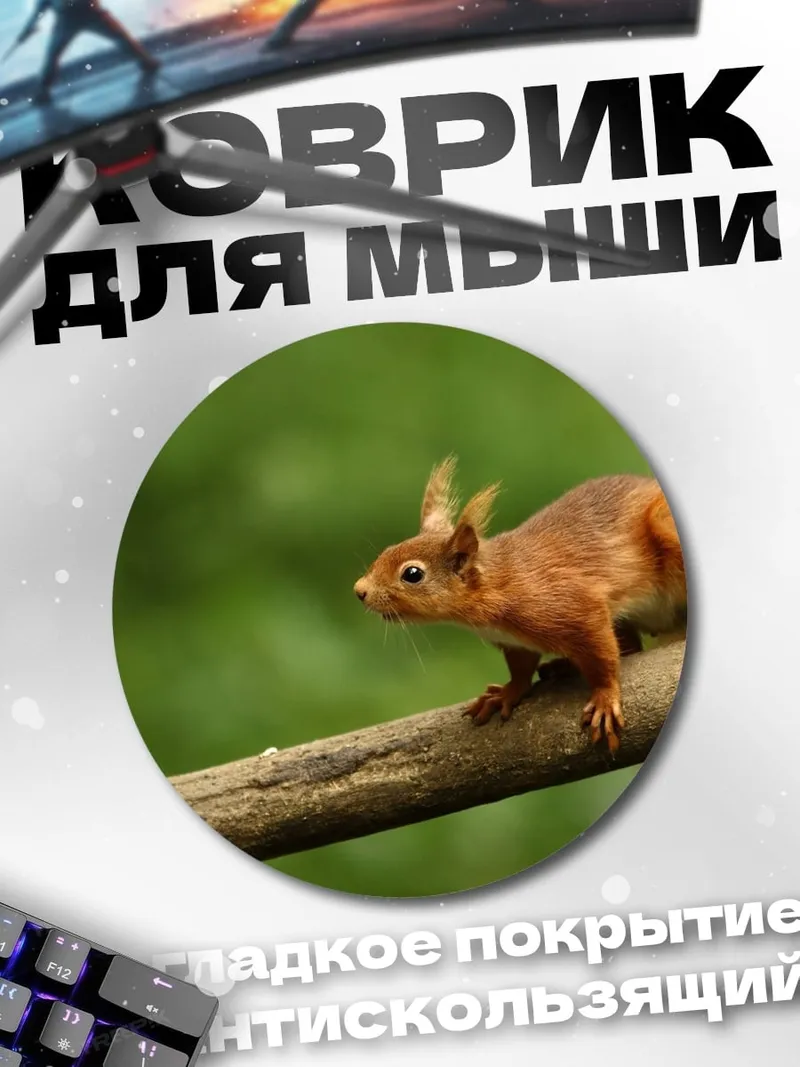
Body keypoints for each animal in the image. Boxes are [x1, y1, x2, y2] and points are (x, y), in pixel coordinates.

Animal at [353, 456, 686, 753]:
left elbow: (603, 658)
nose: (359, 591)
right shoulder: (515, 641)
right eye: (387, 550)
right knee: (631, 644)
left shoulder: (576, 606)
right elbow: (521, 668)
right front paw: (506, 693)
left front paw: (605, 697)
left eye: (412, 574)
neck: (500, 584)